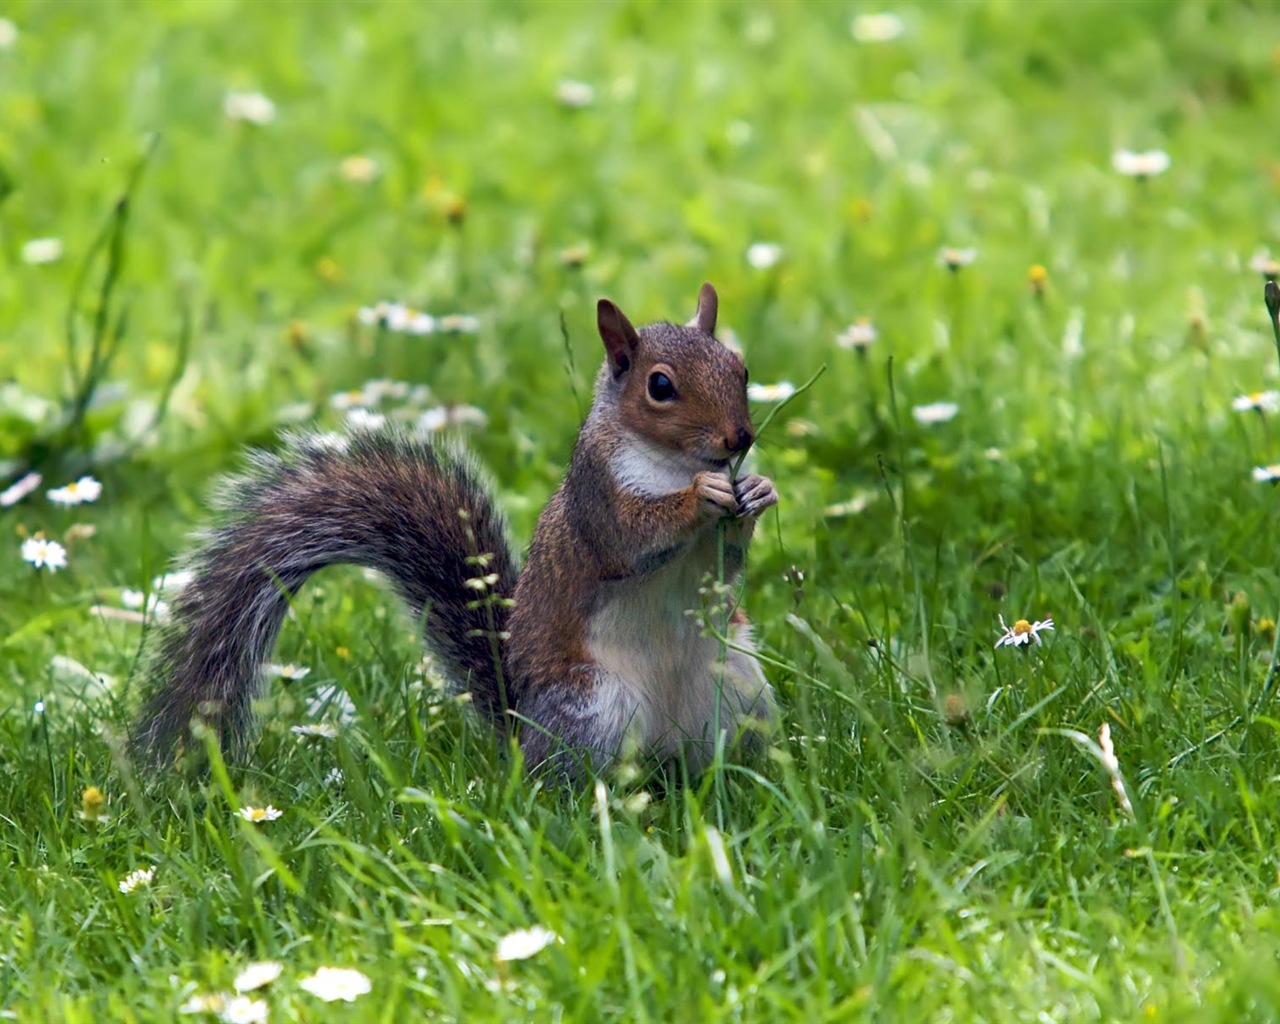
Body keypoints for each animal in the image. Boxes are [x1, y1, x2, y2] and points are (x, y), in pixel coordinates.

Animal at [137, 284, 778, 778]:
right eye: (660, 387)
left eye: (742, 368)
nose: (740, 439)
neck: (674, 463)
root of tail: (522, 729)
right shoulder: (596, 498)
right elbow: (630, 538)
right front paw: (702, 497)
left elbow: (726, 565)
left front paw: (757, 491)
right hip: (593, 708)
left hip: (738, 687)